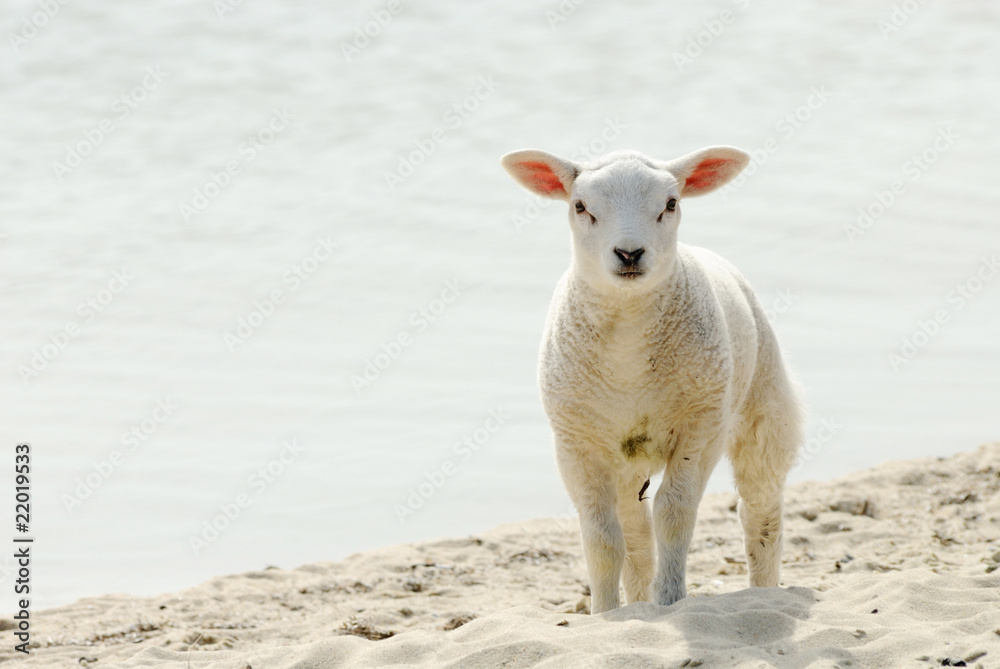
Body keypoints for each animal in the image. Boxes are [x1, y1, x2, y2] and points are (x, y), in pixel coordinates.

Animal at [500, 145, 804, 612]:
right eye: (580, 206)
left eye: (671, 204)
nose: (629, 253)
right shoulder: (576, 442)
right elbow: (603, 538)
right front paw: (606, 613)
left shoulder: (700, 426)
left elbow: (674, 515)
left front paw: (671, 599)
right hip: (625, 457)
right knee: (635, 533)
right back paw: (637, 601)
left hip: (764, 410)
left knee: (760, 509)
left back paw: (764, 593)